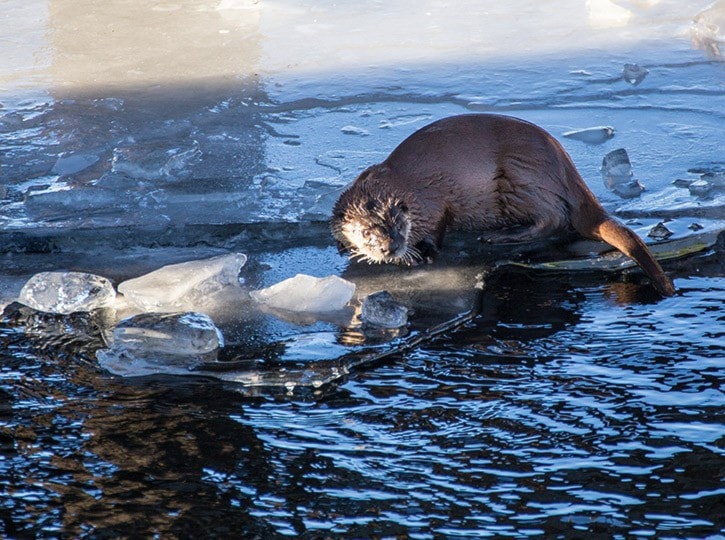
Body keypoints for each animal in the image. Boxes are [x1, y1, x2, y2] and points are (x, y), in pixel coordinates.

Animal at [330, 113, 676, 296]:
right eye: (366, 232)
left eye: (397, 225)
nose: (390, 248)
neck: (401, 186)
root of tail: (565, 166)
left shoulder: (432, 202)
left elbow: (439, 225)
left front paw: (422, 254)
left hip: (519, 177)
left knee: (553, 219)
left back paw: (500, 236)